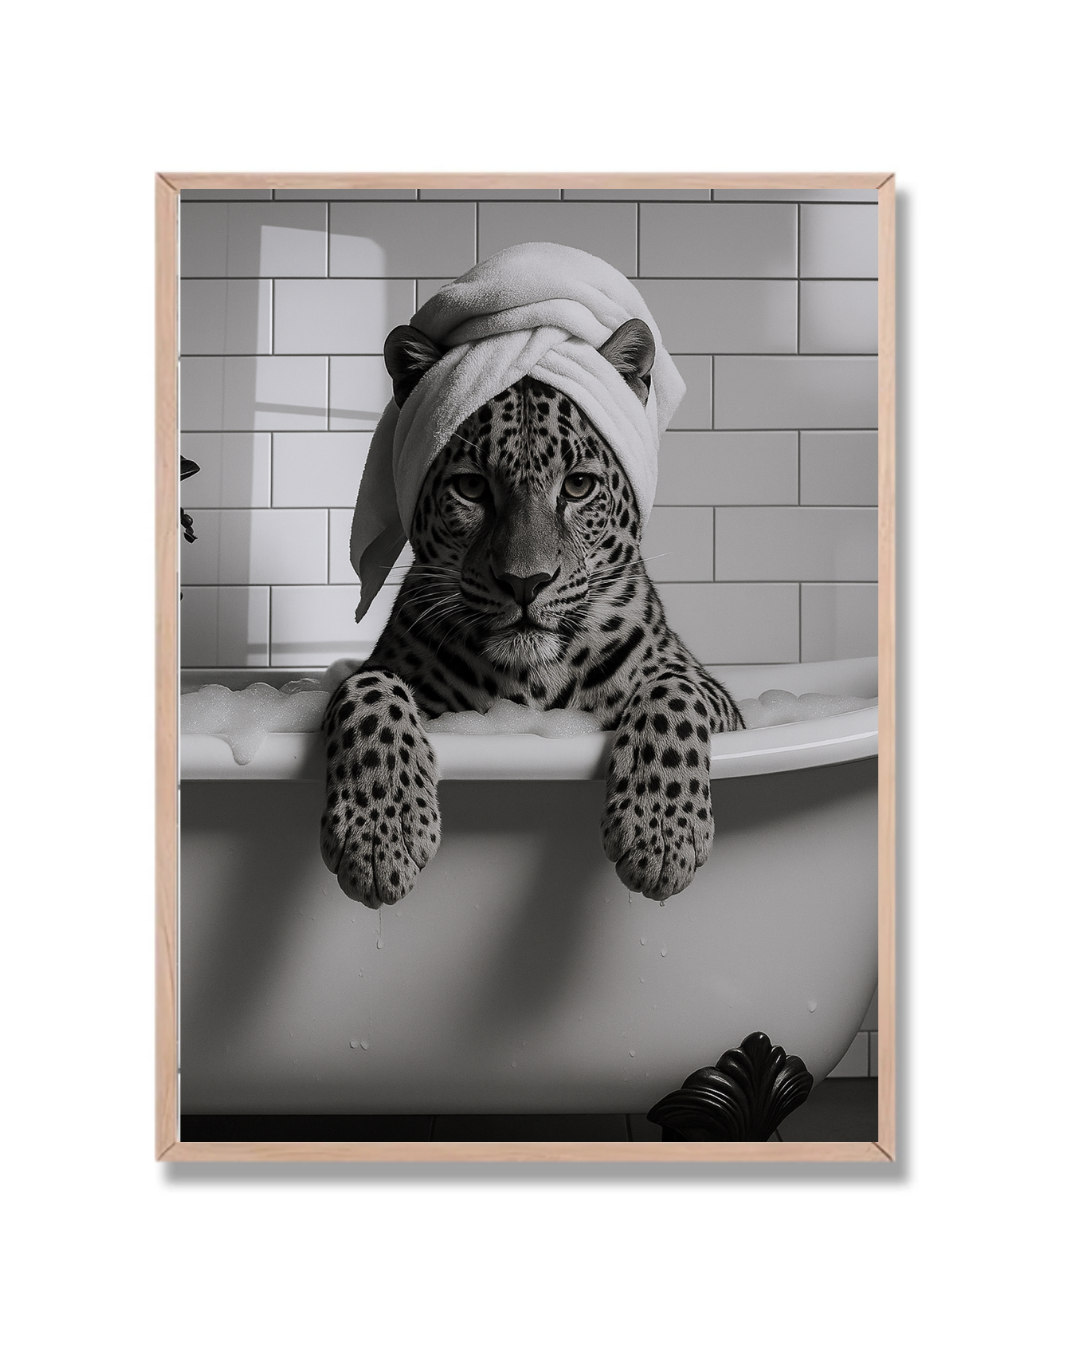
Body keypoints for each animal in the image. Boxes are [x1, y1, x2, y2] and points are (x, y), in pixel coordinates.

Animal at [320, 317, 744, 910]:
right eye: (471, 487)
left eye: (579, 485)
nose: (526, 582)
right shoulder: (374, 674)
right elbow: (368, 687)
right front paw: (381, 832)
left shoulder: (715, 695)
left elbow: (672, 692)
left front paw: (659, 833)